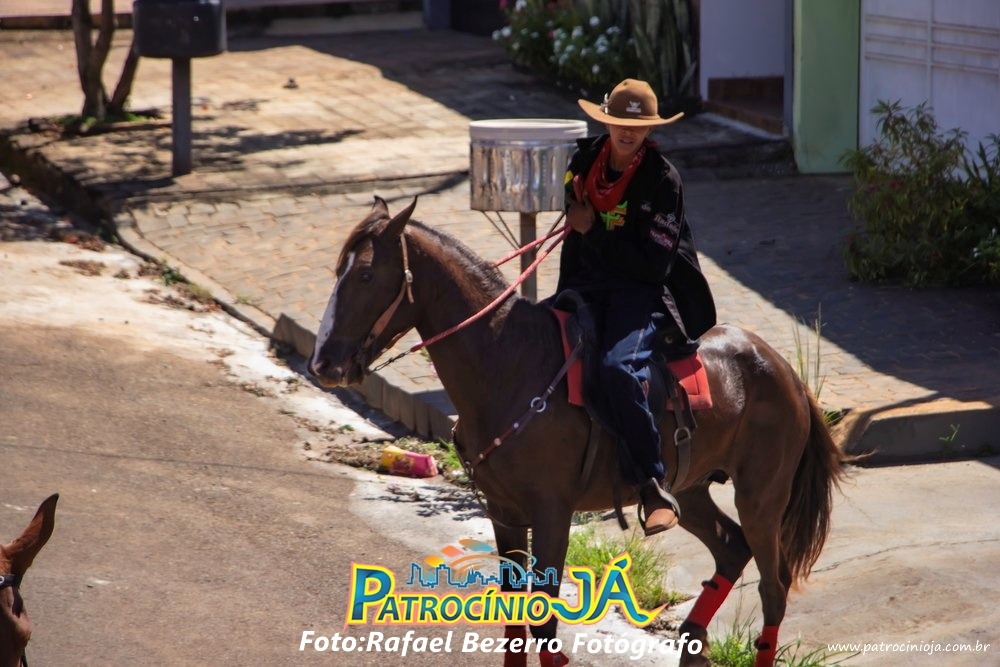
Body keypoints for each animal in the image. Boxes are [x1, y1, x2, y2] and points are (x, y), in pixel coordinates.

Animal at [309, 197, 848, 667]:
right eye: (337, 273)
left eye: (365, 275)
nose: (324, 363)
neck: (508, 362)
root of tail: (783, 370)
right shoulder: (504, 513)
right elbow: (514, 620)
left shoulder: (552, 513)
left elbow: (543, 622)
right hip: (690, 489)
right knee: (731, 549)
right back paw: (693, 641)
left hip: (762, 496)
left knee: (773, 587)